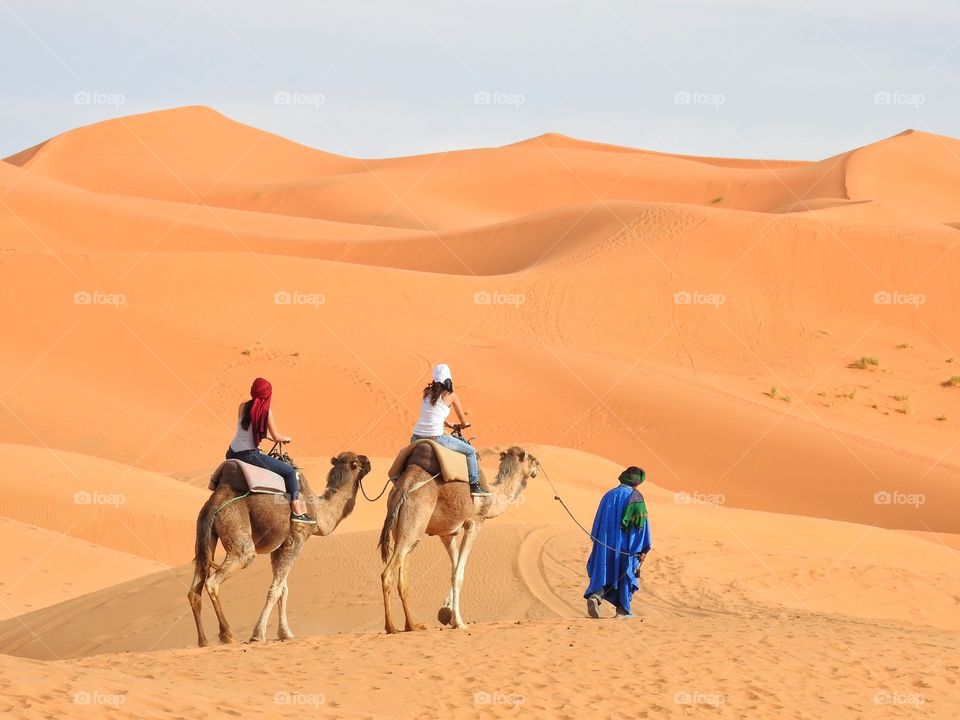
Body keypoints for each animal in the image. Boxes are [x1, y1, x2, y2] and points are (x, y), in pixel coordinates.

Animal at [188, 450, 372, 648]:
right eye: (357, 462)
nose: (369, 461)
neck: (318, 512)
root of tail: (214, 502)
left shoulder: (279, 546)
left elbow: (284, 590)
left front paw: (285, 633)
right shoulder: (296, 538)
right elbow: (275, 589)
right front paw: (258, 634)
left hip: (206, 534)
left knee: (195, 586)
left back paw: (203, 641)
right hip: (237, 526)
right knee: (215, 580)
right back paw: (227, 634)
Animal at [376, 444, 540, 632]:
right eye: (531, 458)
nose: (538, 465)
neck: (492, 494)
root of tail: (404, 487)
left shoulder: (447, 533)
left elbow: (454, 569)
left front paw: (447, 613)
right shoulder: (474, 522)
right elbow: (459, 574)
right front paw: (459, 622)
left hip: (403, 530)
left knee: (403, 579)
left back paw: (412, 626)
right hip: (413, 525)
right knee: (387, 574)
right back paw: (391, 627)